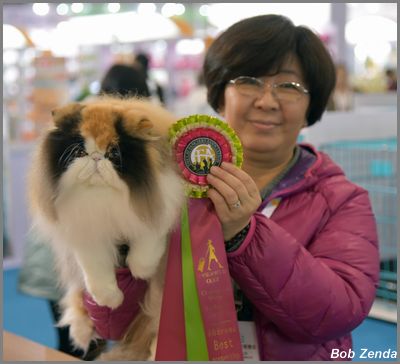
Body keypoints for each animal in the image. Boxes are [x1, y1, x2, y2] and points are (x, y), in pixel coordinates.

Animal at [28, 96, 184, 358]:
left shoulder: (159, 209)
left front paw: (141, 271)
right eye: (80, 152)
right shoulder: (86, 232)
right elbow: (96, 271)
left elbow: (145, 248)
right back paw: (83, 331)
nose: (96, 158)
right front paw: (110, 299)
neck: (103, 197)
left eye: (113, 153)